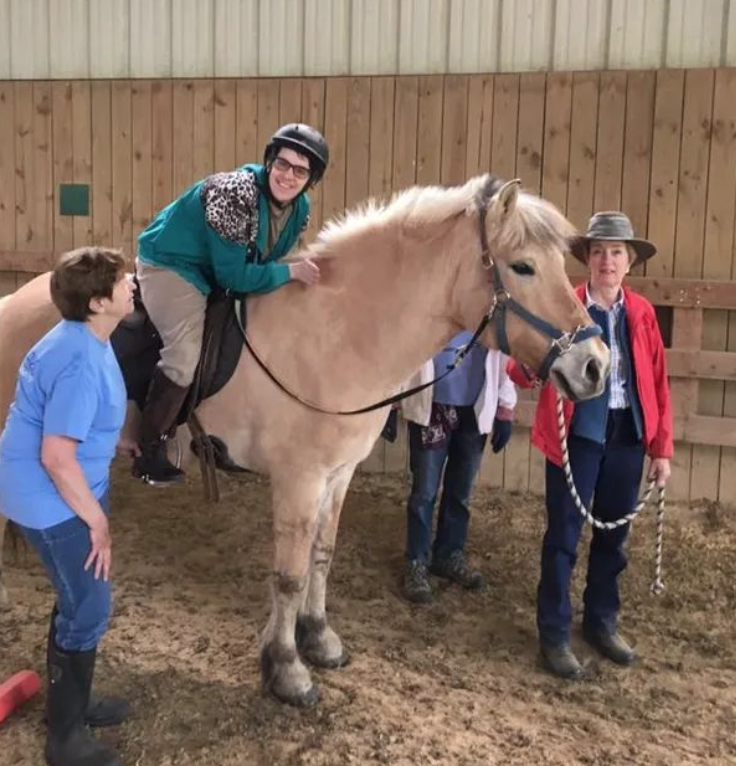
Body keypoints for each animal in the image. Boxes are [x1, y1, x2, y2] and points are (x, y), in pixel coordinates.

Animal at [0, 177, 608, 704]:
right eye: (523, 266)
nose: (596, 365)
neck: (339, 331)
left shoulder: (337, 476)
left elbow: (321, 556)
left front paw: (317, 639)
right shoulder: (298, 480)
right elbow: (289, 575)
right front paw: (287, 670)